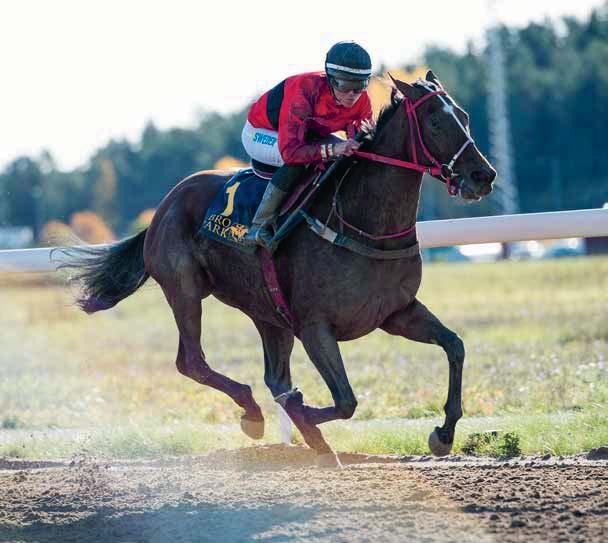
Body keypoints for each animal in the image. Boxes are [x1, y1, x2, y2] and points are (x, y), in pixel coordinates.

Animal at [64, 71, 496, 468]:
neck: (363, 222)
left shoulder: (396, 311)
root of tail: (163, 207)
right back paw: (255, 415)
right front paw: (307, 417)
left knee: (273, 377)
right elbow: (346, 400)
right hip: (185, 289)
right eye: (436, 122)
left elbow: (455, 345)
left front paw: (443, 433)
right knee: (193, 362)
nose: (484, 176)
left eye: (464, 116)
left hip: (268, 310)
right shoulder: (315, 327)